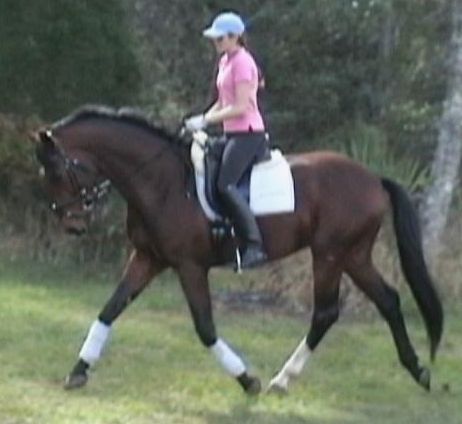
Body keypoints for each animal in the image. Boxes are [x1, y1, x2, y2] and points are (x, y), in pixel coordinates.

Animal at [30, 105, 442, 394]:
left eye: (57, 171)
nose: (73, 225)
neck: (161, 181)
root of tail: (373, 178)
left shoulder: (189, 265)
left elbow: (205, 327)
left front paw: (248, 380)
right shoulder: (149, 259)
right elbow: (110, 310)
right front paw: (78, 372)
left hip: (329, 254)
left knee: (326, 312)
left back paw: (280, 379)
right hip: (353, 255)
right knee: (388, 300)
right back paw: (419, 371)